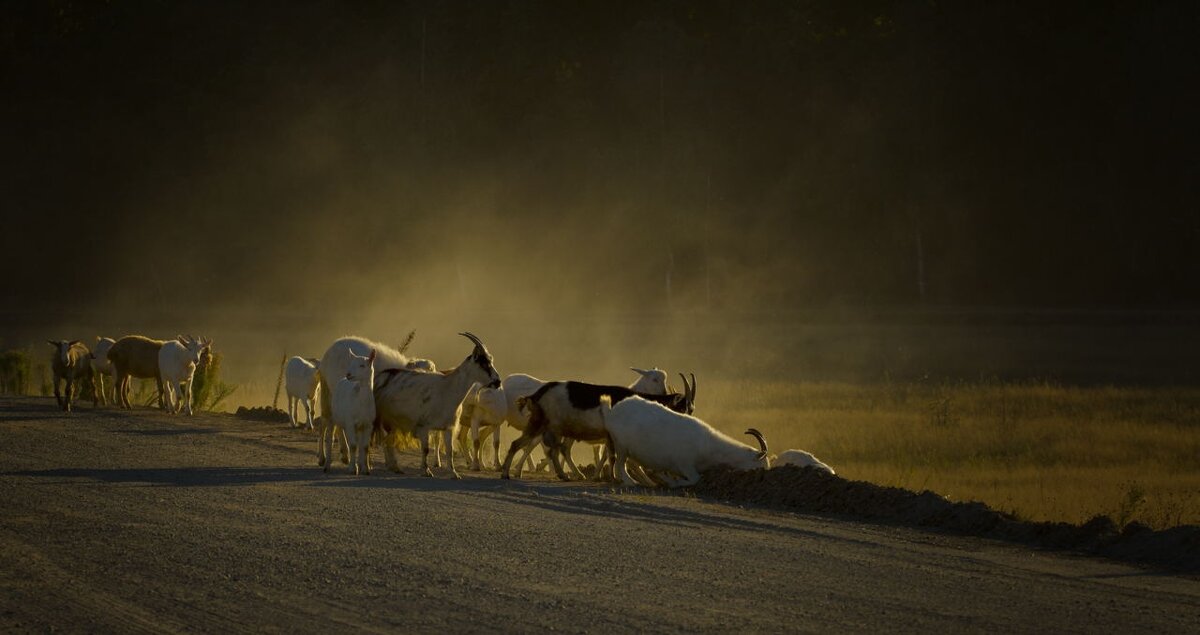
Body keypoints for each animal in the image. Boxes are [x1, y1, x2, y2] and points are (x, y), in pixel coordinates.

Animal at [328, 345, 374, 475]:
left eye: (362, 365)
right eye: (351, 363)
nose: (348, 374)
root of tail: (342, 380)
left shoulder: (368, 424)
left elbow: (365, 447)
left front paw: (366, 469)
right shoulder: (350, 422)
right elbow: (353, 445)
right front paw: (353, 469)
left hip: (357, 426)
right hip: (338, 417)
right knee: (339, 433)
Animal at [379, 331, 501, 475]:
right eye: (484, 363)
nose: (498, 382)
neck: (448, 387)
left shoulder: (448, 427)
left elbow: (449, 450)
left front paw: (454, 473)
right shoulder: (423, 426)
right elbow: (425, 449)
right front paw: (426, 471)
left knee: (387, 440)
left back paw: (392, 466)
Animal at [501, 372, 700, 480]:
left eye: (691, 409)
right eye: (683, 408)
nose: (687, 426)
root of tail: (538, 394)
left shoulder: (610, 436)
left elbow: (611, 456)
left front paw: (610, 477)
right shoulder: (615, 435)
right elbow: (614, 457)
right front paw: (616, 477)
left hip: (551, 426)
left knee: (553, 450)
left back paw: (564, 475)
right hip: (540, 422)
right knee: (520, 445)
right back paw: (506, 474)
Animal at [597, 393, 768, 487]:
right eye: (762, 464)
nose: (763, 476)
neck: (707, 445)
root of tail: (611, 412)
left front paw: (665, 478)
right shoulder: (686, 465)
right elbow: (695, 479)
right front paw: (674, 482)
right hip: (621, 446)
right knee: (620, 466)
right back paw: (632, 482)